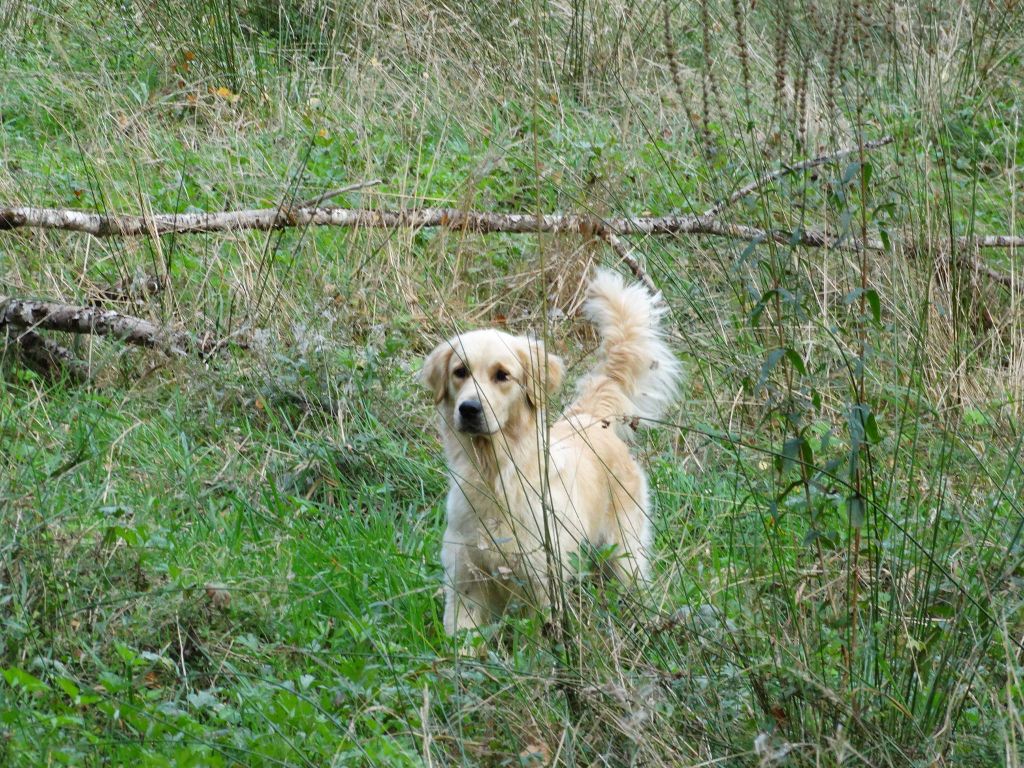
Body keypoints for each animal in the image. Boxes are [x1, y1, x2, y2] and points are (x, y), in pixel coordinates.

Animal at [422, 269, 680, 634]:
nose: (469, 409)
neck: (497, 475)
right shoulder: (463, 583)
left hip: (625, 552)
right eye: (460, 372)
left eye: (502, 375)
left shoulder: (544, 580)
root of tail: (589, 418)